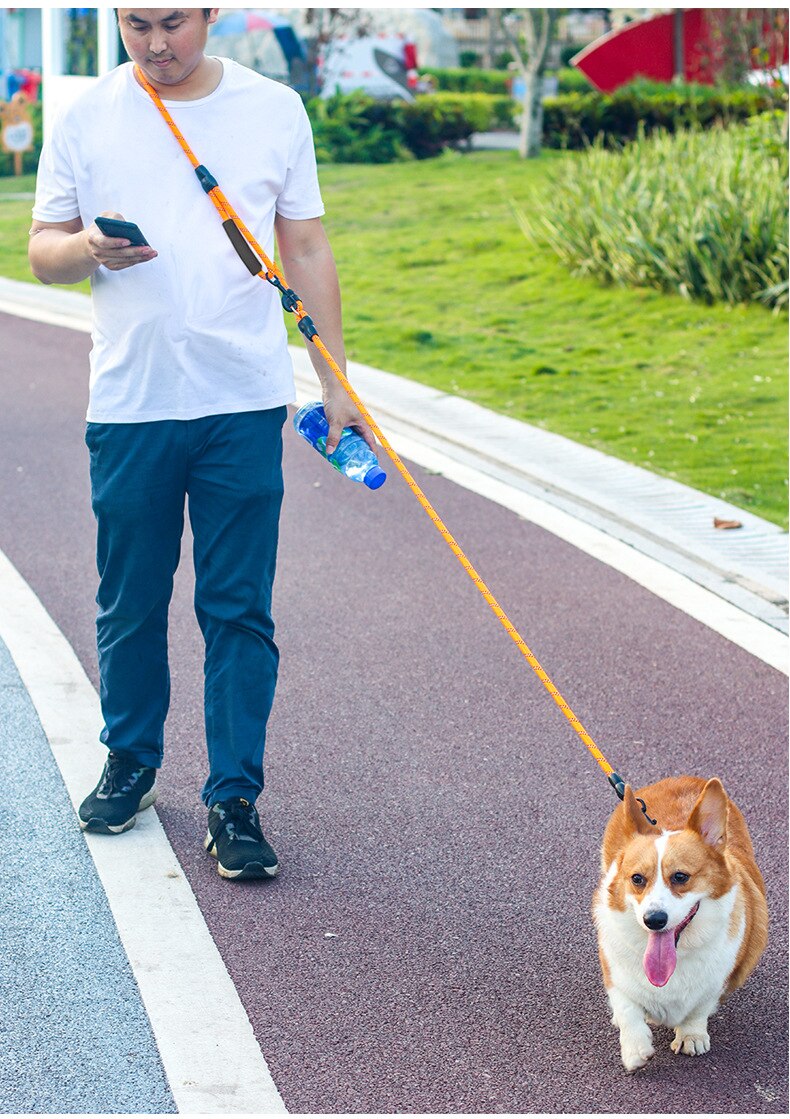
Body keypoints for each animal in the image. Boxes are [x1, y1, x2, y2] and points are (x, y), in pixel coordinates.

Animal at [595, 774, 765, 1069]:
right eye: (637, 878)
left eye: (680, 877)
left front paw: (691, 1036)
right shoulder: (614, 969)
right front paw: (635, 1049)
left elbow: (699, 1009)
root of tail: (683, 777)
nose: (653, 920)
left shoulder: (716, 982)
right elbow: (627, 1007)